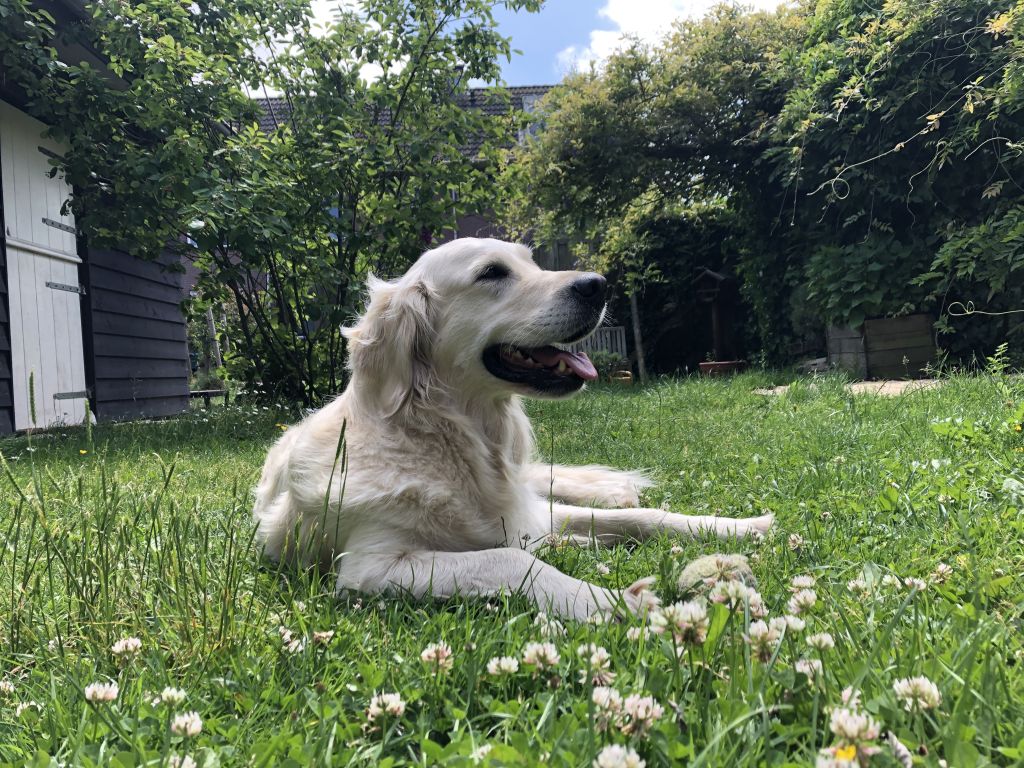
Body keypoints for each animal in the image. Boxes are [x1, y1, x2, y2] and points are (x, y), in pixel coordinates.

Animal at [253, 238, 772, 619]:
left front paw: (741, 527)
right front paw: (617, 602)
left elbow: (647, 517)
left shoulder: (530, 511)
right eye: (491, 273)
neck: (458, 442)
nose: (599, 285)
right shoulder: (370, 565)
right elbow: (511, 558)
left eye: (533, 262)